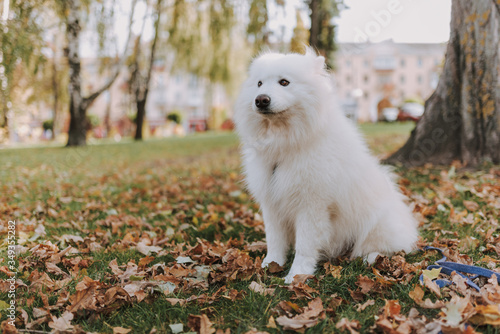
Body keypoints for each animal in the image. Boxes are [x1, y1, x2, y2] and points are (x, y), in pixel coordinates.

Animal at [234, 50, 418, 284]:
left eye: (284, 82)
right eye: (259, 84)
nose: (261, 100)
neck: (285, 146)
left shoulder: (311, 206)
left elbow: (304, 246)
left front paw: (296, 275)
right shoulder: (272, 203)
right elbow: (274, 240)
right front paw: (271, 264)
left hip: (378, 221)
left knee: (385, 247)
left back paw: (371, 257)